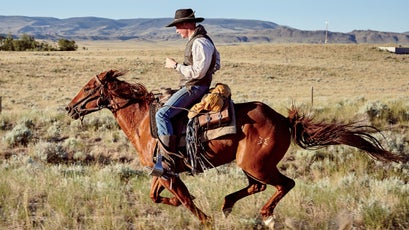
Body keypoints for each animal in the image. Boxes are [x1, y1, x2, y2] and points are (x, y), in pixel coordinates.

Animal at [65, 69, 404, 227]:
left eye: (88, 87)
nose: (69, 108)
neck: (143, 121)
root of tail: (283, 119)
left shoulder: (168, 172)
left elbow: (184, 201)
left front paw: (204, 219)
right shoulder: (164, 171)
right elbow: (157, 196)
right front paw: (186, 206)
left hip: (257, 164)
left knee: (283, 184)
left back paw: (265, 215)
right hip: (253, 166)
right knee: (257, 187)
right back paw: (228, 204)